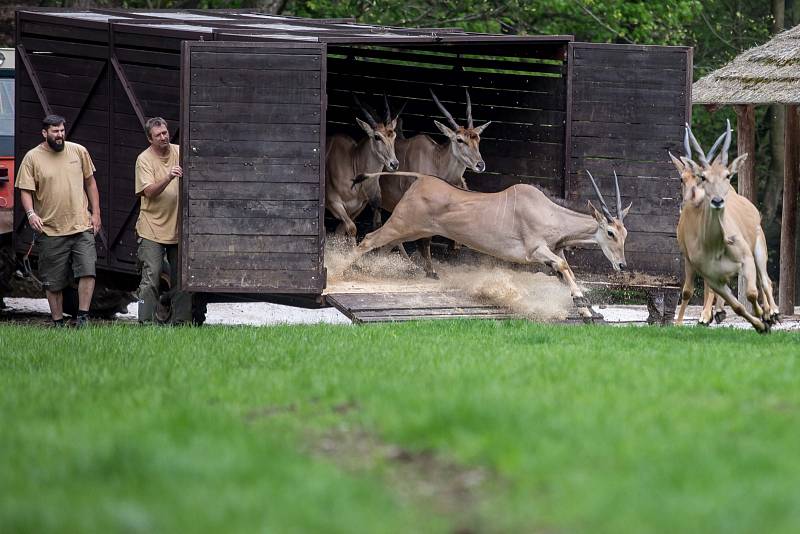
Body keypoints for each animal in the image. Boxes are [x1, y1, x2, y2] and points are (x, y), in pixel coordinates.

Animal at [324, 95, 400, 240]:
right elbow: (352, 229)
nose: (394, 164)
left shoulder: (358, 207)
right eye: (377, 137)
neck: (353, 162)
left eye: (393, 135)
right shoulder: (334, 203)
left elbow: (342, 231)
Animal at [344, 171, 632, 318]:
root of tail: (421, 180)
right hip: (400, 225)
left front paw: (585, 309)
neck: (550, 213)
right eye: (610, 232)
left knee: (382, 246)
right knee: (368, 240)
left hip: (408, 232)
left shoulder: (552, 253)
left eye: (624, 233)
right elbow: (563, 266)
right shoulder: (535, 251)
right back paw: (340, 272)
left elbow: (565, 272)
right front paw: (585, 308)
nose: (622, 265)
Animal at [672, 123, 780, 332]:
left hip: (759, 248)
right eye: (682, 179)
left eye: (728, 175)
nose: (717, 201)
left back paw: (773, 312)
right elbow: (693, 292)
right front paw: (681, 322)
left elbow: (751, 293)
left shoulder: (746, 259)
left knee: (765, 281)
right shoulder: (700, 266)